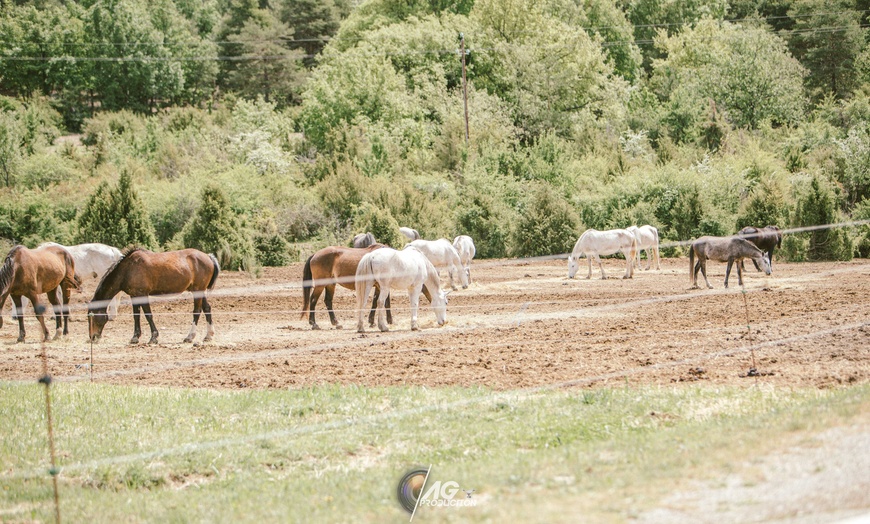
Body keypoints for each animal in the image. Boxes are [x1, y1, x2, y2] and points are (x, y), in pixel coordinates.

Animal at [87, 248, 221, 346]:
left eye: (92, 316)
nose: (92, 337)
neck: (128, 269)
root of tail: (208, 257)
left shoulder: (142, 294)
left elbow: (148, 315)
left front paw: (153, 337)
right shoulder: (134, 296)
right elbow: (136, 316)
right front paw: (135, 337)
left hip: (198, 290)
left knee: (197, 311)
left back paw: (189, 336)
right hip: (199, 291)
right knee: (207, 308)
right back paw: (209, 335)